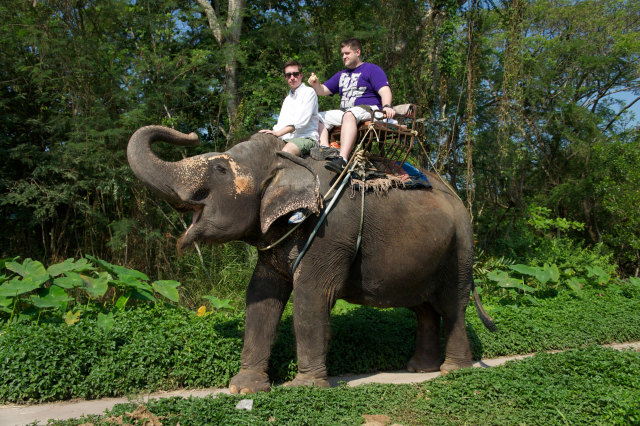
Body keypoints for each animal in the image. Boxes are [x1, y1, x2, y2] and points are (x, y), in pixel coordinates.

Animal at [125, 125, 496, 394]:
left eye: (219, 168)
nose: (191, 134)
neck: (287, 161)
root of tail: (458, 197)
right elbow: (261, 296)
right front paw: (244, 389)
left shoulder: (329, 231)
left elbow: (311, 295)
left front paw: (303, 387)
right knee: (423, 309)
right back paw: (419, 369)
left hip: (460, 247)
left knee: (451, 305)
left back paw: (452, 371)